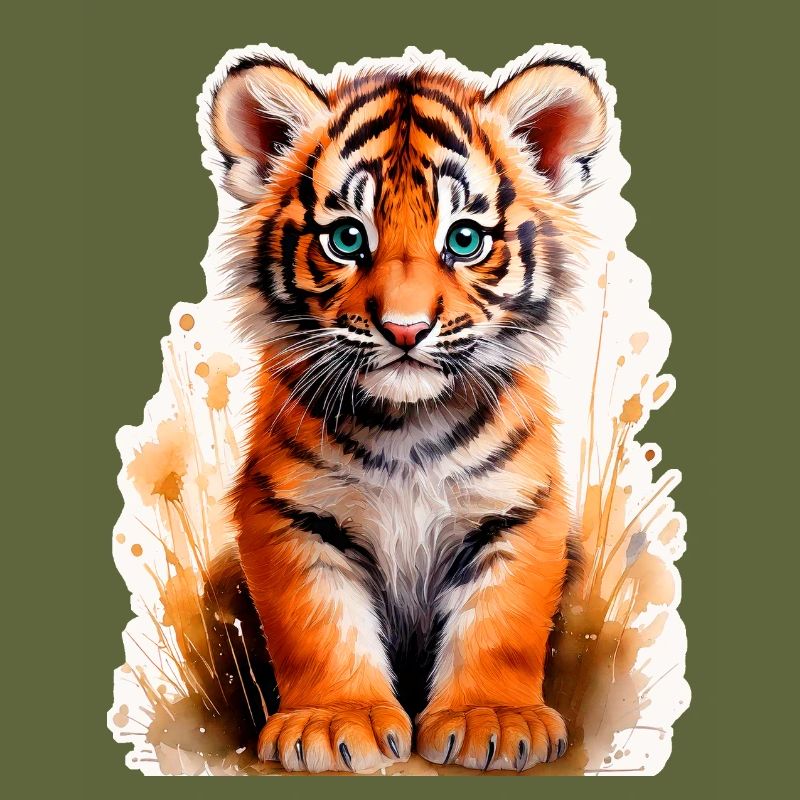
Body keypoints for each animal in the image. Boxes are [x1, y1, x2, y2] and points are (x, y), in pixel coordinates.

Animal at [206, 45, 607, 773]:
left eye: (466, 239)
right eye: (345, 239)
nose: (404, 328)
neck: (407, 426)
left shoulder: (518, 510)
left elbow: (502, 624)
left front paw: (492, 719)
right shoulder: (290, 513)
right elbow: (318, 626)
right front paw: (333, 723)